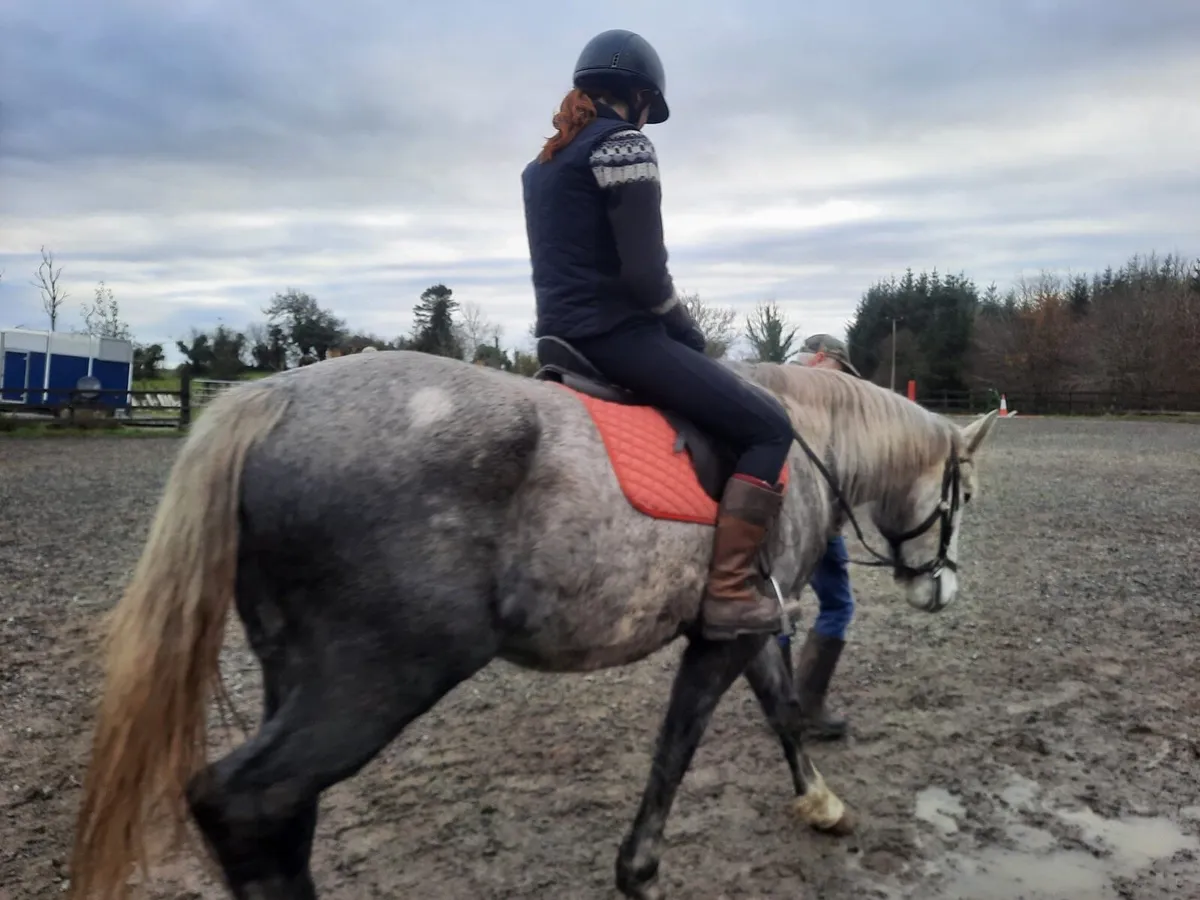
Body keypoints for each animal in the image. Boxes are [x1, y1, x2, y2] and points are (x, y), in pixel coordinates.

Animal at [67, 345, 999, 900]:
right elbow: (677, 749)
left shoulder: (737, 628)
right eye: (965, 496)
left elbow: (780, 713)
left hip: (293, 672)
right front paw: (638, 871)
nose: (943, 590)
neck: (803, 440)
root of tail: (271, 400)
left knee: (280, 813)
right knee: (250, 802)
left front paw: (823, 805)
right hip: (376, 678)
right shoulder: (727, 635)